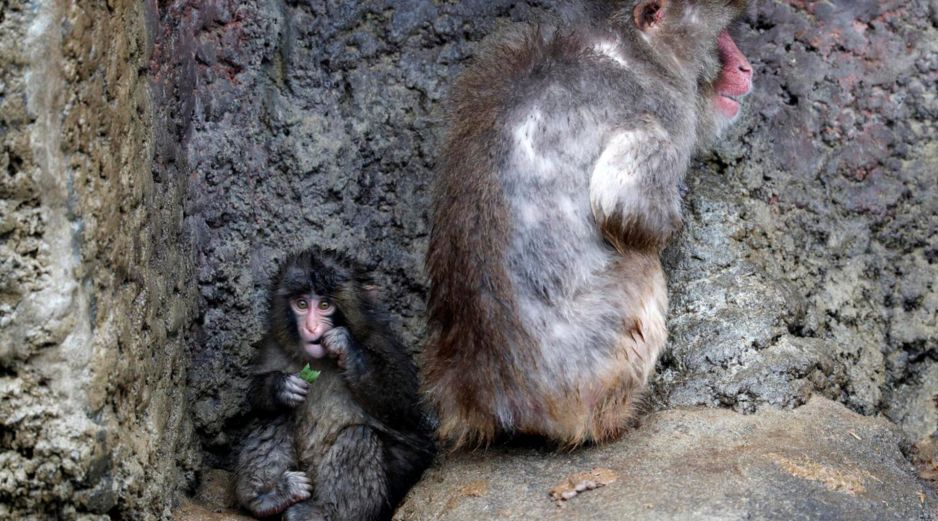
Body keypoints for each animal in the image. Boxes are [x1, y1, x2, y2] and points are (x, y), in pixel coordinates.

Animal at [234, 247, 435, 520]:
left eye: (325, 305)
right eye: (301, 304)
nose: (311, 327)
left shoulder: (384, 343)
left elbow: (405, 408)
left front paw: (347, 347)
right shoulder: (273, 345)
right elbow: (255, 398)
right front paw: (280, 387)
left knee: (359, 435)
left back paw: (323, 513)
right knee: (276, 414)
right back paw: (268, 496)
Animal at [423, 0, 753, 448]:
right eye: (721, 36)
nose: (746, 67)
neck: (637, 51)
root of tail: (492, 397)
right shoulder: (662, 109)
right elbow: (624, 205)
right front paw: (674, 215)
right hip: (592, 368)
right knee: (640, 266)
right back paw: (617, 417)